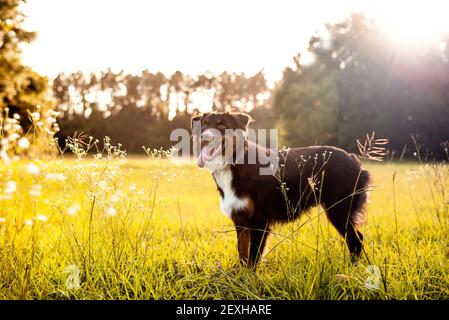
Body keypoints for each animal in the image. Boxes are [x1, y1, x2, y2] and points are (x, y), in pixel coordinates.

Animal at [191, 111, 370, 266]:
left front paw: (250, 278)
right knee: (358, 238)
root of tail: (353, 159)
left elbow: (253, 257)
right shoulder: (240, 218)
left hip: (339, 210)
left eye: (221, 126)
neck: (234, 162)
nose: (203, 138)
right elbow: (242, 252)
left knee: (355, 241)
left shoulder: (259, 220)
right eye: (204, 125)